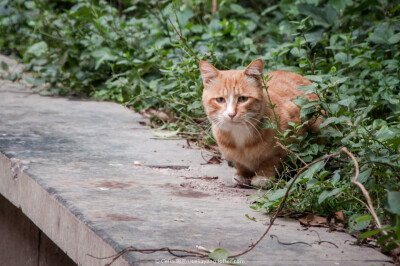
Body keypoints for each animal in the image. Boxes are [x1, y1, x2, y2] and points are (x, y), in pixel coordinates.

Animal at [202, 58, 320, 187]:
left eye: (243, 99)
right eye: (220, 99)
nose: (231, 114)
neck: (239, 135)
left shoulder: (286, 142)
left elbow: (271, 161)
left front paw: (262, 176)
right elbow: (241, 163)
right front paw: (243, 174)